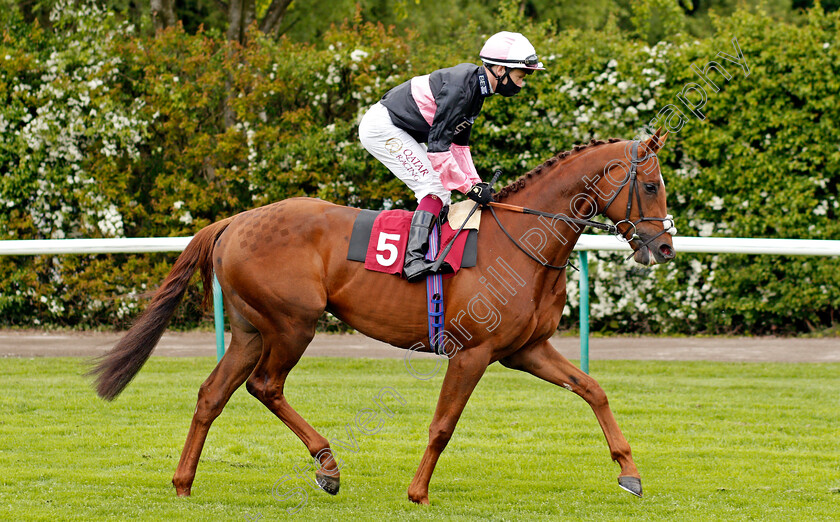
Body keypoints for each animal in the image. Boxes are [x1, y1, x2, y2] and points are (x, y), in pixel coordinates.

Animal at [88, 130, 676, 504]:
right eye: (650, 186)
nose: (665, 246)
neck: (521, 242)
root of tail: (234, 221)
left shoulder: (525, 350)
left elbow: (593, 389)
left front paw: (630, 473)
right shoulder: (473, 353)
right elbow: (443, 424)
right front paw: (418, 492)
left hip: (251, 329)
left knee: (213, 393)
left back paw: (184, 482)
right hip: (292, 324)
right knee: (265, 386)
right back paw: (327, 466)